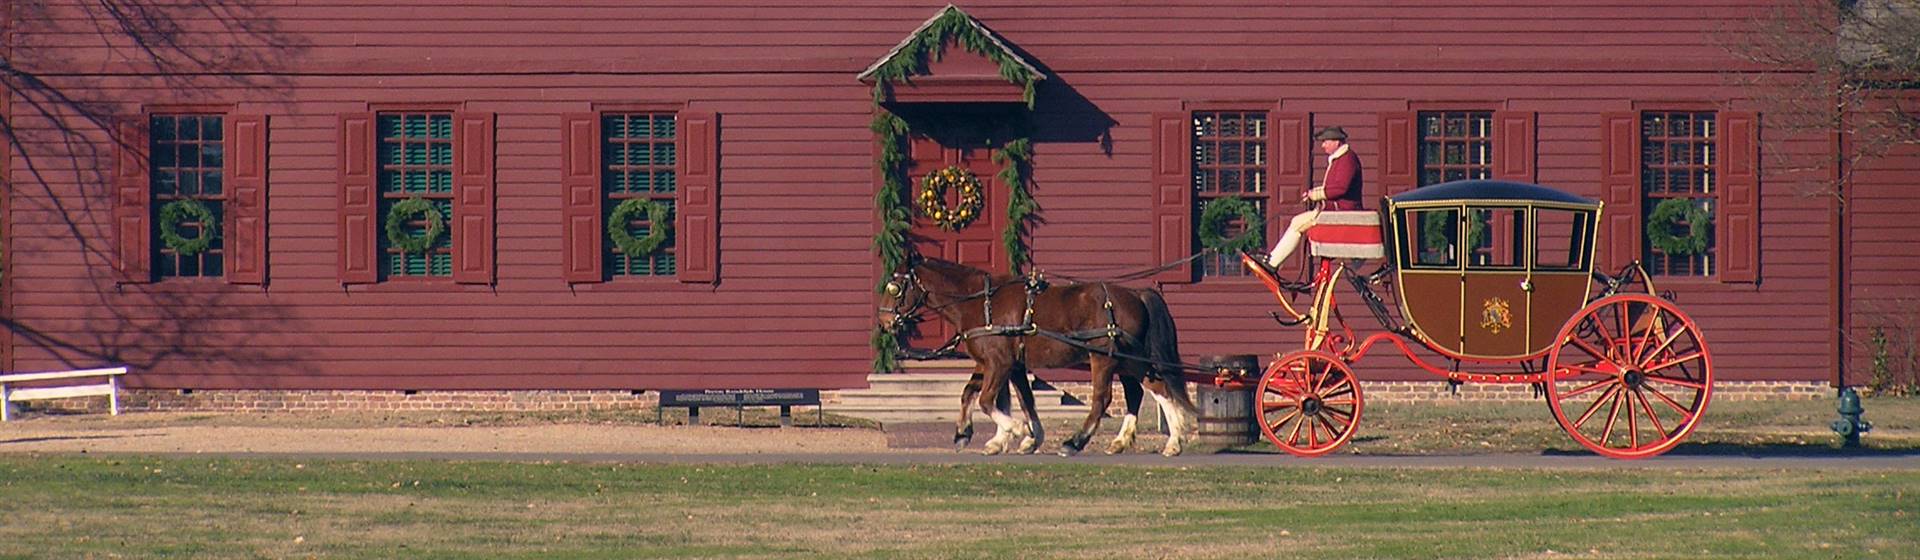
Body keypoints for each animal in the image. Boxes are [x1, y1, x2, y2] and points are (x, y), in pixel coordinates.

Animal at [879, 255, 1190, 456]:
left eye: (894, 288)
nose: (884, 322)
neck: (981, 303)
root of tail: (1135, 294)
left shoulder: (999, 363)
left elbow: (987, 400)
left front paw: (1017, 431)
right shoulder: (1002, 364)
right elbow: (999, 398)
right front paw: (977, 435)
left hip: (1103, 358)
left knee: (1103, 399)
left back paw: (1075, 442)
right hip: (1128, 360)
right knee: (1154, 389)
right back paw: (1166, 441)